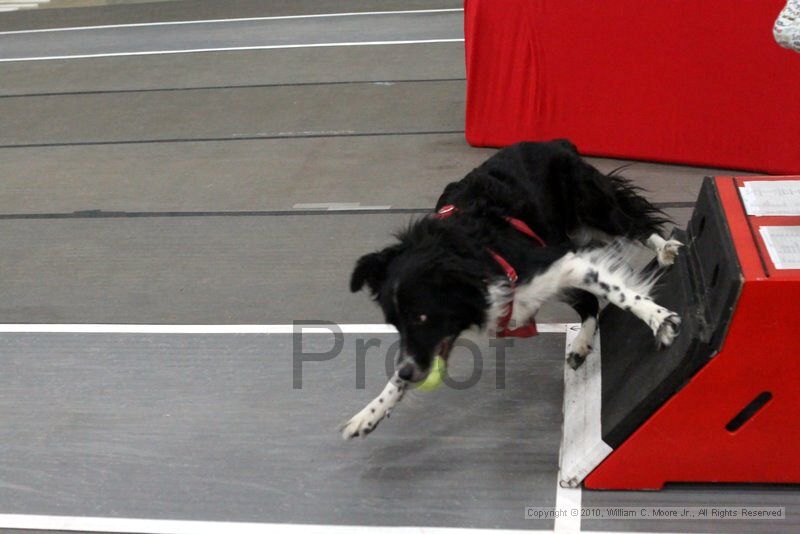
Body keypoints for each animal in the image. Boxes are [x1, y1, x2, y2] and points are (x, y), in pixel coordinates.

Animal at [342, 141, 680, 440]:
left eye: (423, 317)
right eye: (395, 324)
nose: (408, 373)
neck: (468, 255)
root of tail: (556, 142)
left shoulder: (561, 261)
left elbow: (618, 293)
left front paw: (658, 318)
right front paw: (370, 412)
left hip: (593, 206)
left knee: (634, 223)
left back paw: (665, 248)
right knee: (588, 303)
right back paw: (581, 345)